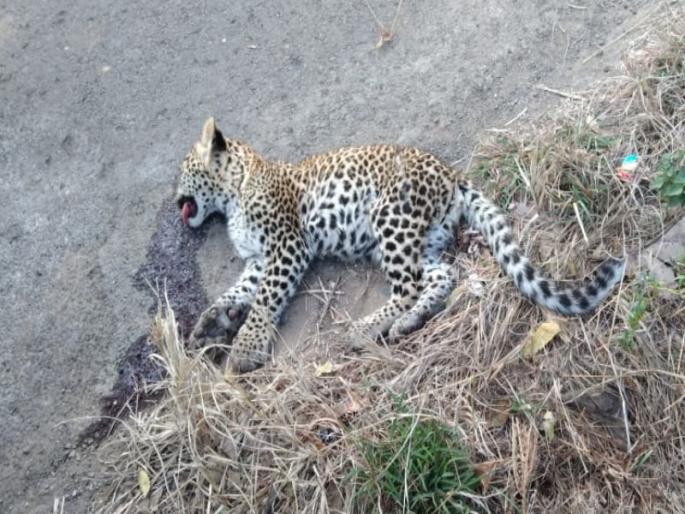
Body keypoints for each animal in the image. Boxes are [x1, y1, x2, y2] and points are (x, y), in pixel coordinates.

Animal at [175, 117, 625, 373]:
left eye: (184, 168)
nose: (175, 197)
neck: (234, 192)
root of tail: (452, 175)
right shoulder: (259, 260)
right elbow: (236, 292)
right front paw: (211, 323)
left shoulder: (287, 246)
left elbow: (265, 300)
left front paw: (244, 348)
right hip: (417, 240)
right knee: (442, 274)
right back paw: (408, 321)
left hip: (388, 218)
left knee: (408, 285)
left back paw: (365, 328)